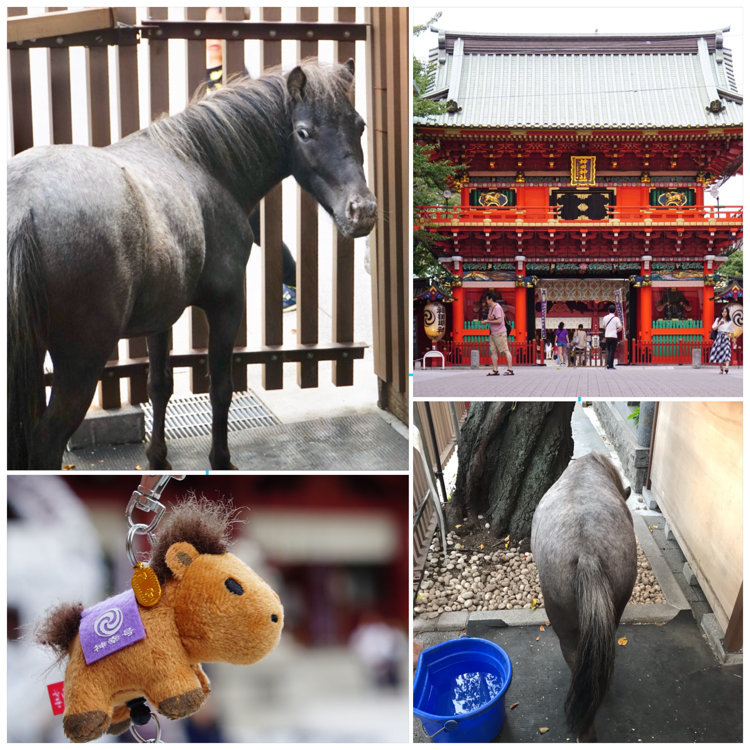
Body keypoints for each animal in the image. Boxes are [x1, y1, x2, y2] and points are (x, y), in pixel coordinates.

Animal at [7, 58, 376, 470]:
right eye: (304, 132)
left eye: (360, 125)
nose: (362, 211)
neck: (202, 164)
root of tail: (23, 207)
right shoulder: (227, 305)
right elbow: (221, 386)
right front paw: (221, 459)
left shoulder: (161, 316)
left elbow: (159, 384)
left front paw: (158, 458)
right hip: (81, 363)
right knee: (46, 444)